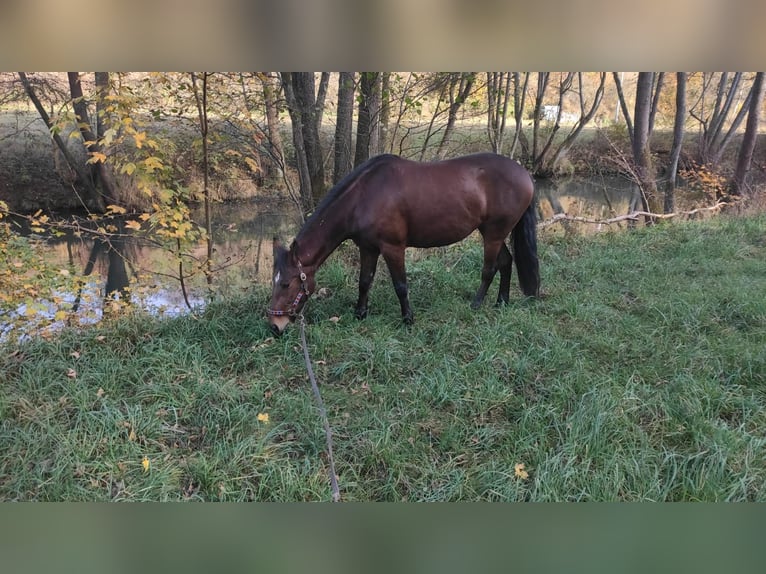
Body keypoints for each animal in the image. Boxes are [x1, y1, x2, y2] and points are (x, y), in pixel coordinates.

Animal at [267, 152, 540, 335]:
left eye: (286, 283)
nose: (274, 327)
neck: (364, 196)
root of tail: (525, 174)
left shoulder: (393, 248)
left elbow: (400, 285)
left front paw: (408, 319)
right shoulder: (368, 248)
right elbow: (364, 281)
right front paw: (360, 314)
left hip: (493, 234)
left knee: (489, 269)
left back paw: (477, 304)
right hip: (493, 232)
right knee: (506, 262)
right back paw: (501, 302)